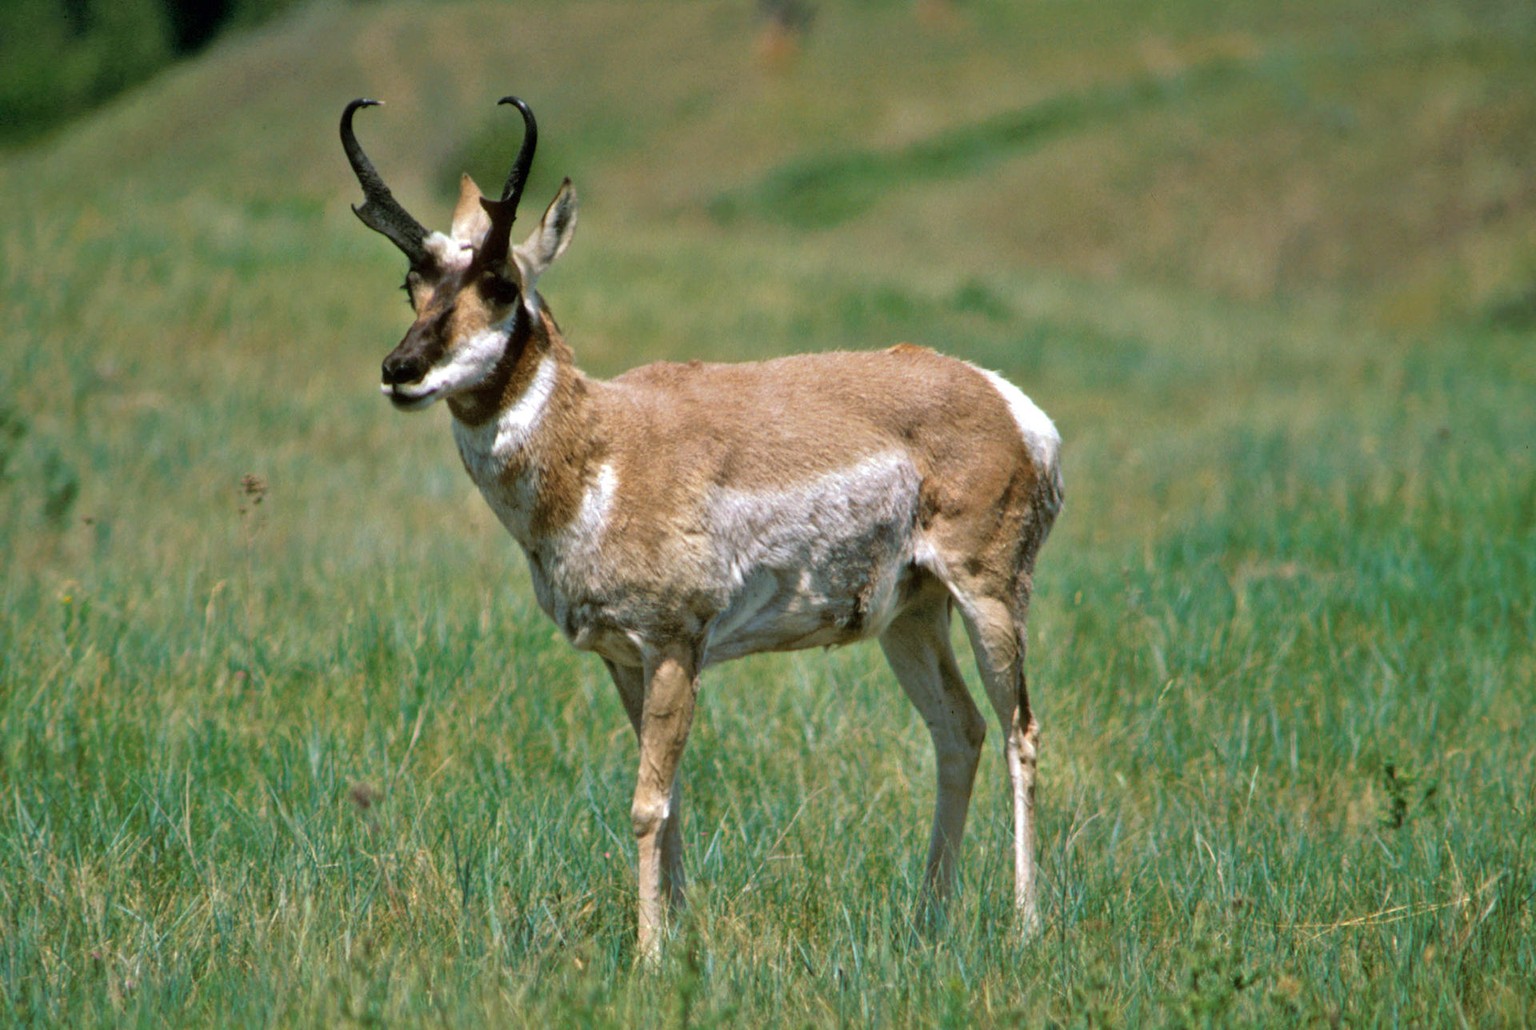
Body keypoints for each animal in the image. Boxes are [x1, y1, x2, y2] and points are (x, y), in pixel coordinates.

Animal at [337, 96, 1062, 957]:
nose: (398, 370)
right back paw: (929, 918)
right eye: (411, 281)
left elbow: (647, 803)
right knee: (961, 732)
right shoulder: (624, 660)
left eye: (501, 283)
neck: (602, 446)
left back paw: (1024, 925)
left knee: (1021, 733)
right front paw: (678, 938)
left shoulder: (675, 645)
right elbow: (672, 795)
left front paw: (650, 955)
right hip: (909, 617)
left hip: (990, 595)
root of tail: (1005, 400)